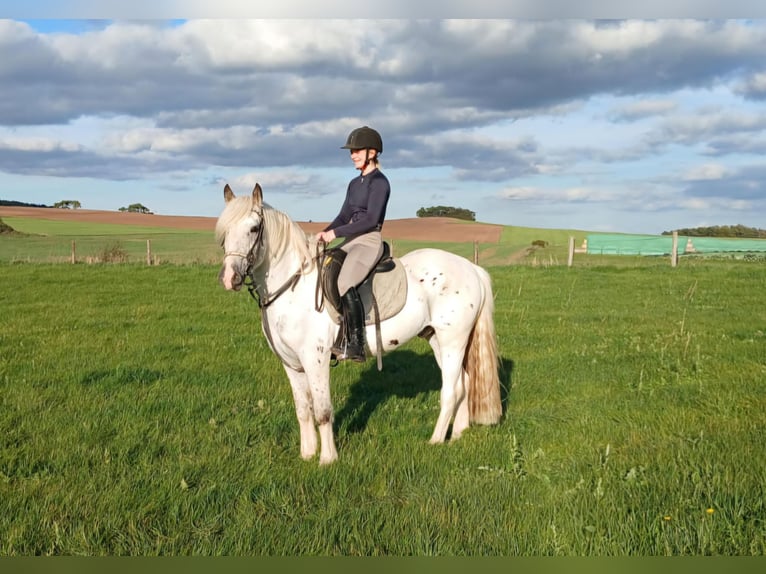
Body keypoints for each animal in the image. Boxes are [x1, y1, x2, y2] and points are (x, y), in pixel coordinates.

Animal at [216, 183, 503, 464]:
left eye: (254, 228)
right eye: (224, 230)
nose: (229, 278)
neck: (293, 285)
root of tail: (471, 268)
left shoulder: (315, 359)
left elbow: (322, 410)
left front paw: (327, 459)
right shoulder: (291, 363)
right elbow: (303, 409)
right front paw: (307, 455)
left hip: (453, 340)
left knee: (451, 390)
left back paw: (435, 440)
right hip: (436, 339)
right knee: (464, 383)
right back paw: (458, 435)